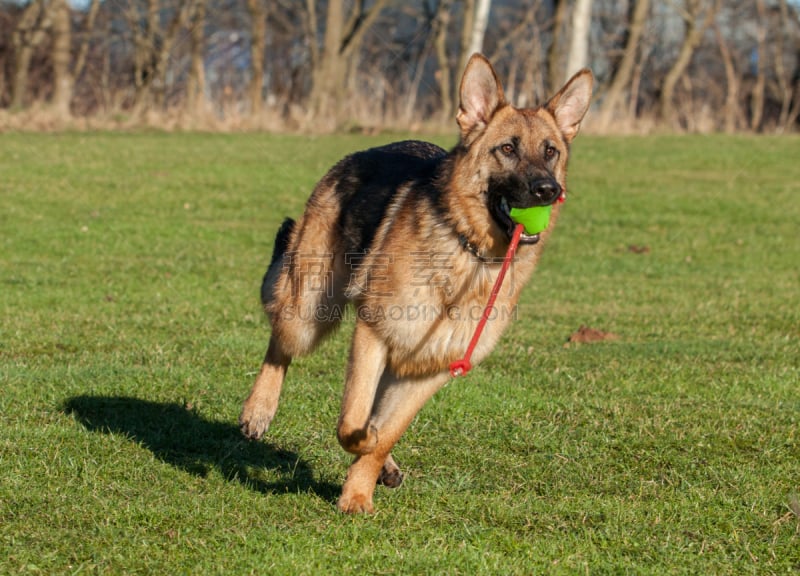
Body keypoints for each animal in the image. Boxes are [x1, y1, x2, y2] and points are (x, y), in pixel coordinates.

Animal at [239, 55, 592, 512]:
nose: (549, 189)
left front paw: (358, 493)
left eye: (551, 151)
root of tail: (364, 151)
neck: (470, 253)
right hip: (310, 310)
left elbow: (385, 431)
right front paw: (362, 456)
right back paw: (258, 410)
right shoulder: (374, 334)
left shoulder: (432, 367)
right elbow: (353, 421)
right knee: (281, 341)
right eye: (508, 149)